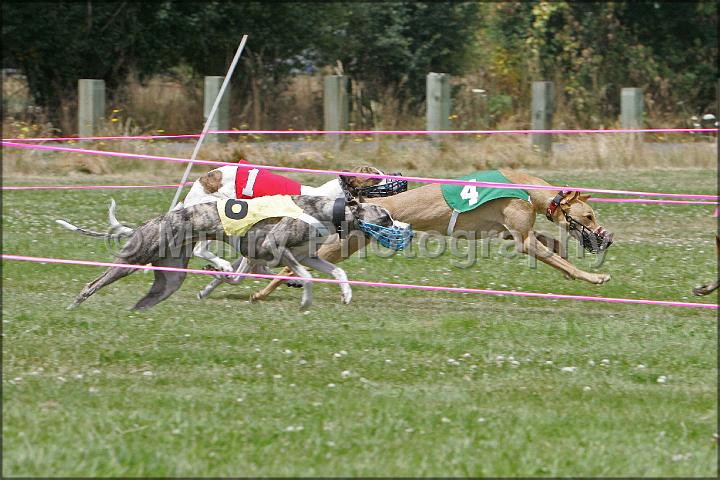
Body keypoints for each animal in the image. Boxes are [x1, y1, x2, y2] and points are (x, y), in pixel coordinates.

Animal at [68, 195, 412, 310]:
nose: (406, 229)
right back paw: (74, 306)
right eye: (386, 217)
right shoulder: (276, 247)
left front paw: (347, 295)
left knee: (148, 299)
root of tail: (151, 221)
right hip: (132, 260)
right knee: (92, 284)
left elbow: (338, 270)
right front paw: (305, 301)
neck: (327, 210)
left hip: (169, 279)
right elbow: (305, 278)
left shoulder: (307, 256)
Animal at [249, 168, 615, 302]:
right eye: (589, 215)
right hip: (341, 246)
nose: (606, 237)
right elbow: (561, 260)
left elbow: (555, 247)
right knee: (289, 266)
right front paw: (594, 277)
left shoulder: (513, 235)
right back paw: (263, 292)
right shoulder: (522, 241)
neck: (526, 187)